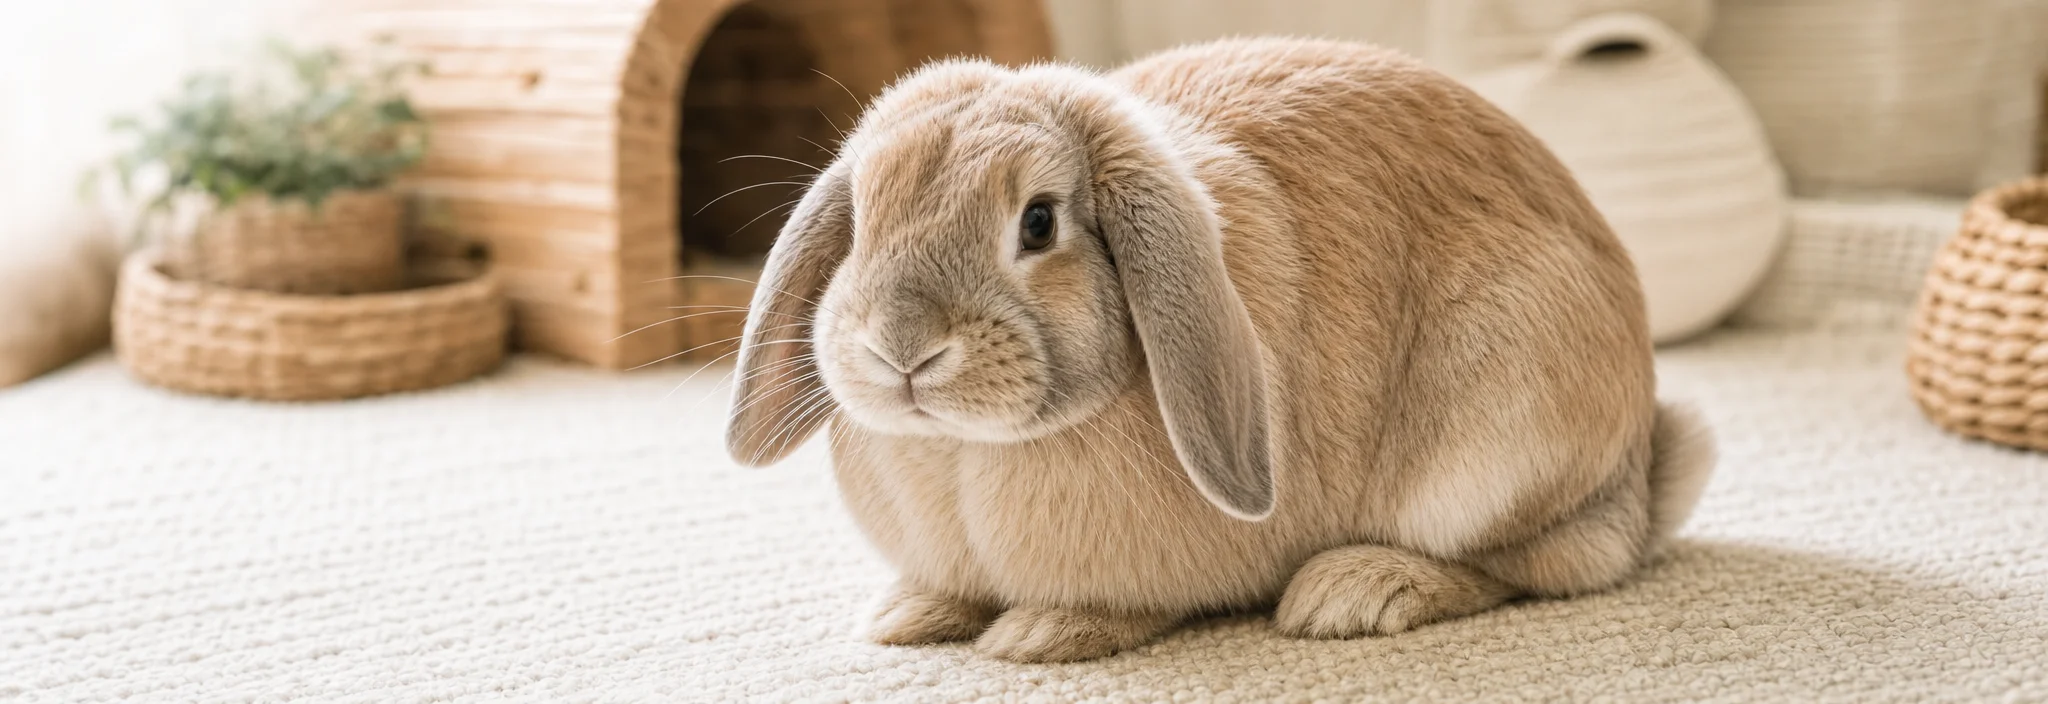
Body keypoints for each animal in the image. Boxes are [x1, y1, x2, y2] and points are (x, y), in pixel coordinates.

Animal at [724, 37, 1716, 663]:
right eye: (860, 221)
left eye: (1038, 223)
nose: (903, 350)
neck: (964, 450)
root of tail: (1640, 464)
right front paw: (907, 616)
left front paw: (1040, 635)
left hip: (1495, 453)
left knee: (1539, 564)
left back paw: (1353, 593)